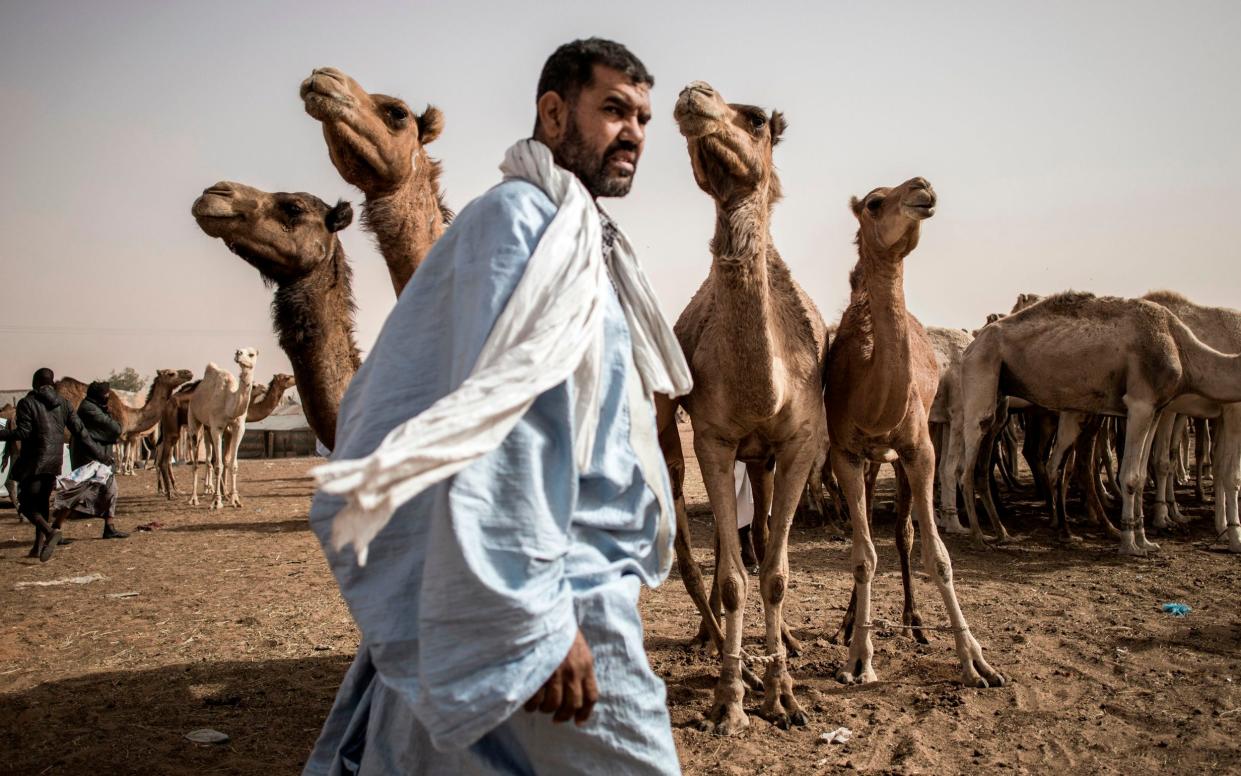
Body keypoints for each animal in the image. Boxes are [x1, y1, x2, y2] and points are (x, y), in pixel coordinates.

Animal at [660, 81, 824, 735]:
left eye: (754, 119)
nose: (693, 93)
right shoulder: (712, 438)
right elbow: (734, 579)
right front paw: (730, 699)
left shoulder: (802, 440)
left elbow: (777, 574)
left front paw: (785, 694)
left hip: (767, 456)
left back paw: (790, 647)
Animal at [819, 178, 1002, 685]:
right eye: (874, 202)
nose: (923, 188)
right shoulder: (845, 452)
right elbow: (862, 556)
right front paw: (857, 659)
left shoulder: (920, 450)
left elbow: (937, 556)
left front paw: (976, 661)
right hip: (870, 461)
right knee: (870, 534)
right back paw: (847, 625)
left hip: (900, 458)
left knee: (903, 532)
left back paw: (914, 623)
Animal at [953, 288, 1241, 553]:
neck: (1181, 346)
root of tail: (972, 344)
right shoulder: (1140, 403)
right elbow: (1131, 475)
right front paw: (1130, 544)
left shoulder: (1157, 408)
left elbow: (1142, 471)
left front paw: (1145, 541)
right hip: (983, 370)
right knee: (968, 464)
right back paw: (979, 536)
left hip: (1004, 396)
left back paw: (1012, 532)